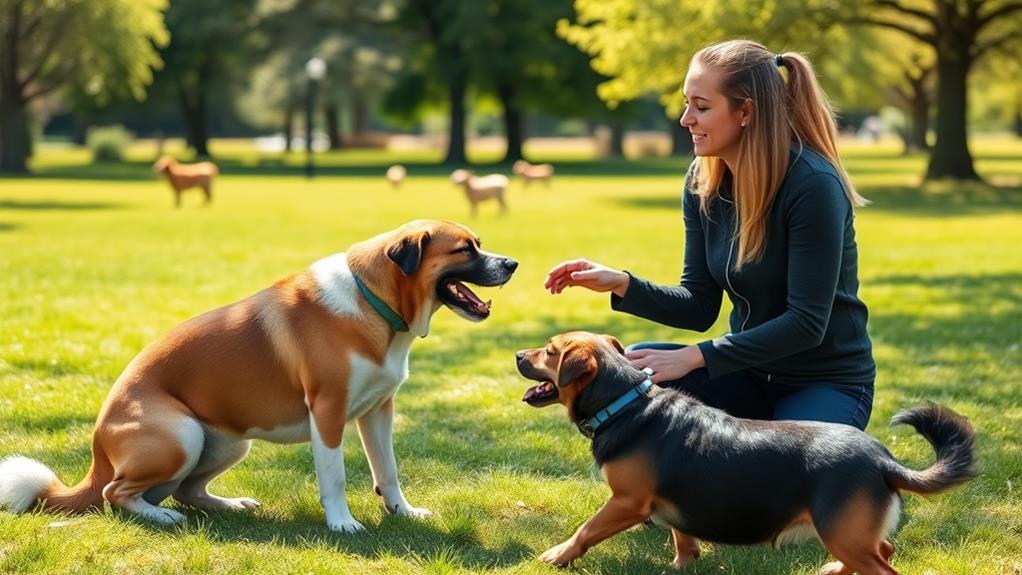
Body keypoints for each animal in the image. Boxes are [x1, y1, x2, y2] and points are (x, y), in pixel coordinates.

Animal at [515, 330, 977, 575]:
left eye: (550, 351)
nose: (519, 353)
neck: (625, 402)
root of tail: (884, 459)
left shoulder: (627, 502)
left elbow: (585, 530)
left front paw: (557, 555)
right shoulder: (673, 504)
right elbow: (683, 539)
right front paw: (682, 565)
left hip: (840, 531)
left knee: (885, 566)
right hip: (852, 534)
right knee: (885, 550)